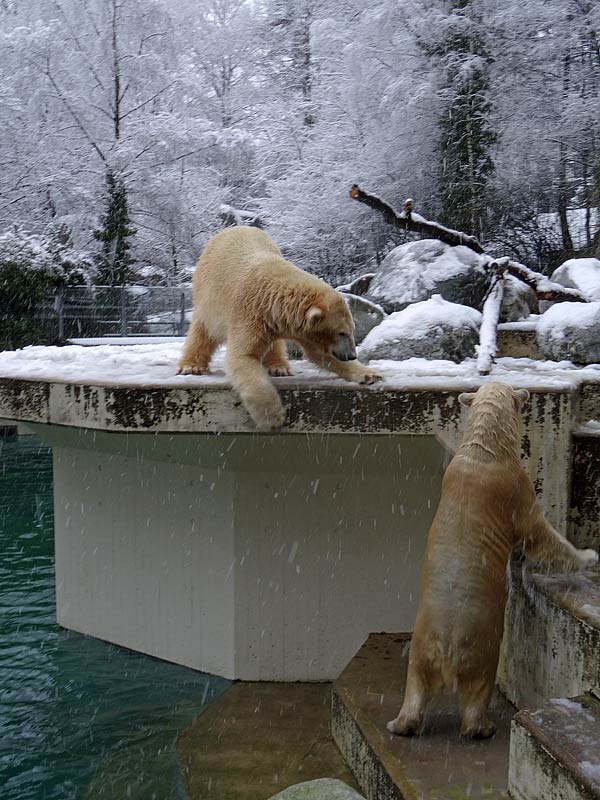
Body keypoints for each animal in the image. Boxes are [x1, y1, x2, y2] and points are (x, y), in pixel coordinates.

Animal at [178, 228, 382, 428]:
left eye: (352, 329)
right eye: (342, 332)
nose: (351, 355)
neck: (273, 294)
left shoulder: (283, 322)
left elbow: (319, 353)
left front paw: (370, 375)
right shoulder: (248, 312)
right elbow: (243, 356)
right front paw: (273, 416)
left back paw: (279, 368)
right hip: (207, 296)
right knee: (203, 331)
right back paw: (191, 366)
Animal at [386, 384, 596, 740]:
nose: (525, 393)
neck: (485, 450)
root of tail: (446, 648)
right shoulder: (514, 488)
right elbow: (539, 533)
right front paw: (588, 557)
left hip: (419, 651)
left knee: (414, 685)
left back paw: (400, 724)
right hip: (483, 647)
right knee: (479, 688)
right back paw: (481, 728)